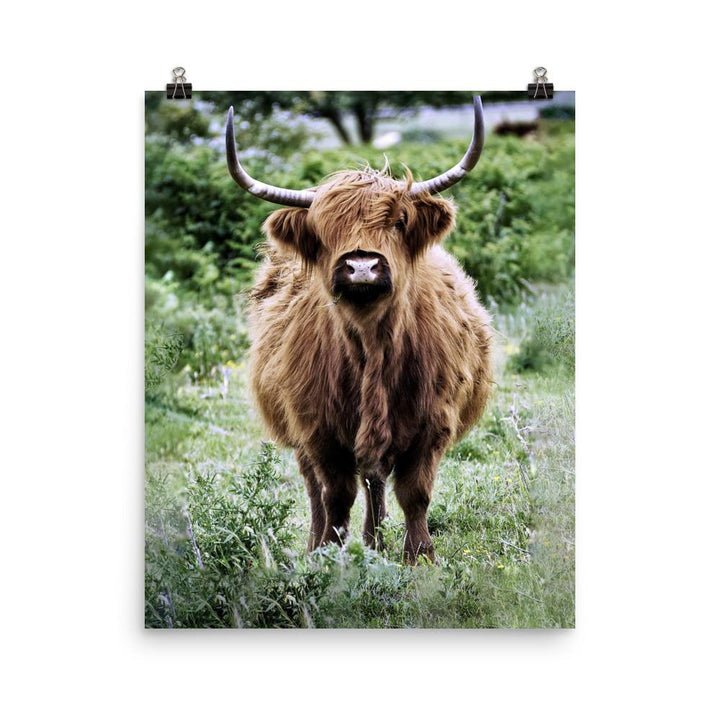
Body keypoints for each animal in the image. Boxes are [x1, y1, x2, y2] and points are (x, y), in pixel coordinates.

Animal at [226, 96, 493, 563]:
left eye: (399, 221)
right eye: (323, 230)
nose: (362, 266)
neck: (372, 346)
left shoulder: (433, 423)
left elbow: (414, 493)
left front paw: (419, 556)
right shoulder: (317, 429)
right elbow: (335, 494)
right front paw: (329, 555)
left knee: (375, 478)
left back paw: (375, 540)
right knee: (320, 488)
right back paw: (326, 543)